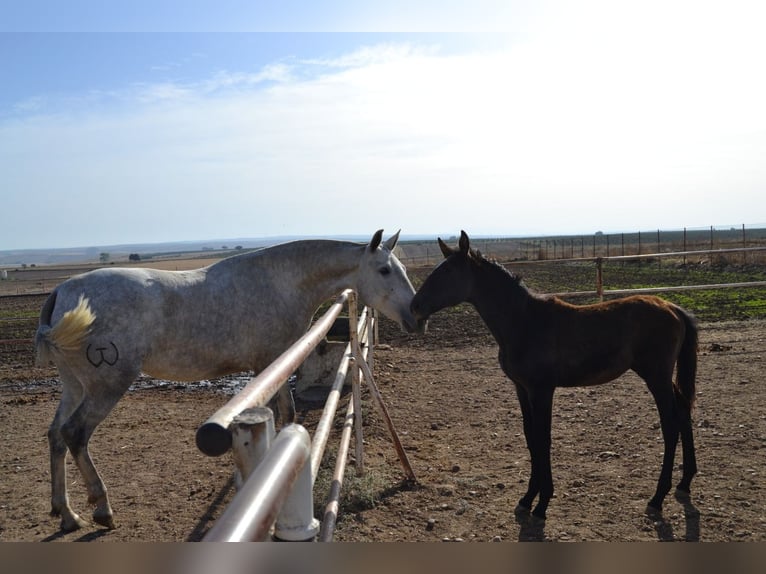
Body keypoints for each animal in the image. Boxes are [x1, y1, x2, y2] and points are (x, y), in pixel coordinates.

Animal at [36, 228, 424, 532]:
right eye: (384, 269)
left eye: (401, 268)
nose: (417, 316)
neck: (281, 281)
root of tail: (61, 293)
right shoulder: (271, 365)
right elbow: (288, 414)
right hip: (106, 386)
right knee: (74, 434)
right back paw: (102, 509)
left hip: (75, 386)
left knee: (56, 435)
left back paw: (66, 513)